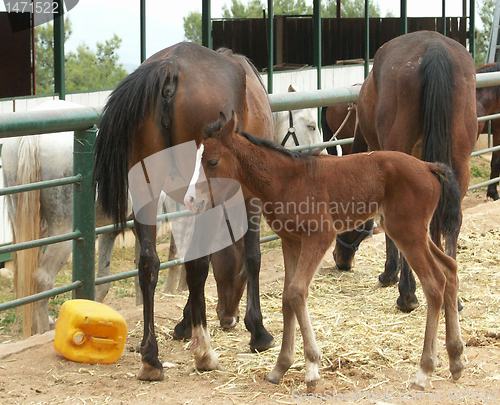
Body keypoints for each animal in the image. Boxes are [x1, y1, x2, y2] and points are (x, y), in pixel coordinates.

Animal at [1, 98, 118, 334]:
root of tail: (32, 137)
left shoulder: (110, 229)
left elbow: (104, 280)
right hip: (63, 229)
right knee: (42, 278)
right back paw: (43, 331)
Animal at [94, 41, 274, 378]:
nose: (227, 318)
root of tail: (170, 69)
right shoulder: (248, 196)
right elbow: (251, 256)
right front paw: (257, 330)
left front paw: (184, 323)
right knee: (196, 266)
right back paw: (203, 352)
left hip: (147, 189)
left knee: (148, 262)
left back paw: (151, 357)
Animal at [186, 112, 462, 390]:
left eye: (212, 161)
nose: (190, 200)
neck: (286, 180)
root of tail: (428, 167)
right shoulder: (291, 241)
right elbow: (286, 297)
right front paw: (280, 367)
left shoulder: (319, 236)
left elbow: (297, 292)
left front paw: (311, 367)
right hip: (417, 233)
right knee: (449, 269)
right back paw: (456, 359)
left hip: (408, 233)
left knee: (434, 284)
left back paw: (424, 370)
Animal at [332, 30, 476, 310]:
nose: (340, 259)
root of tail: (434, 49)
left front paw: (390, 274)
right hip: (459, 162)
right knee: (452, 220)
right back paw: (452, 294)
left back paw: (407, 295)